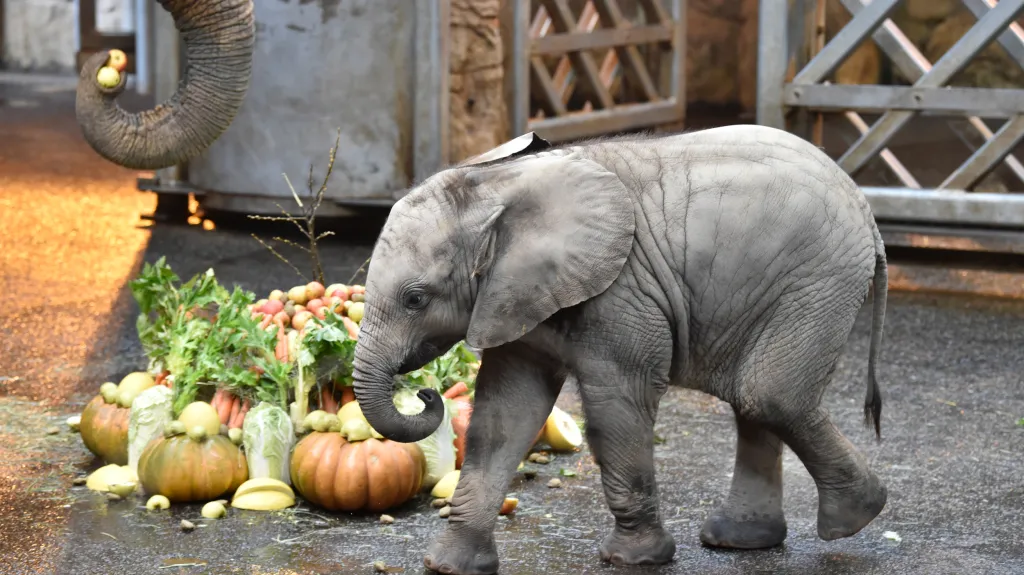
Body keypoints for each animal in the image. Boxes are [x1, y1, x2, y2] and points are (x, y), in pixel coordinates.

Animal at [350, 123, 888, 568]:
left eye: (415, 299)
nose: (424, 393)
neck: (498, 185)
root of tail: (866, 210)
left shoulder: (623, 291)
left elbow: (616, 409)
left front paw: (634, 559)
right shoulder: (513, 298)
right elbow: (502, 418)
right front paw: (449, 565)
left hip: (817, 281)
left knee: (769, 396)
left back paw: (855, 517)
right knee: (752, 399)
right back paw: (743, 540)